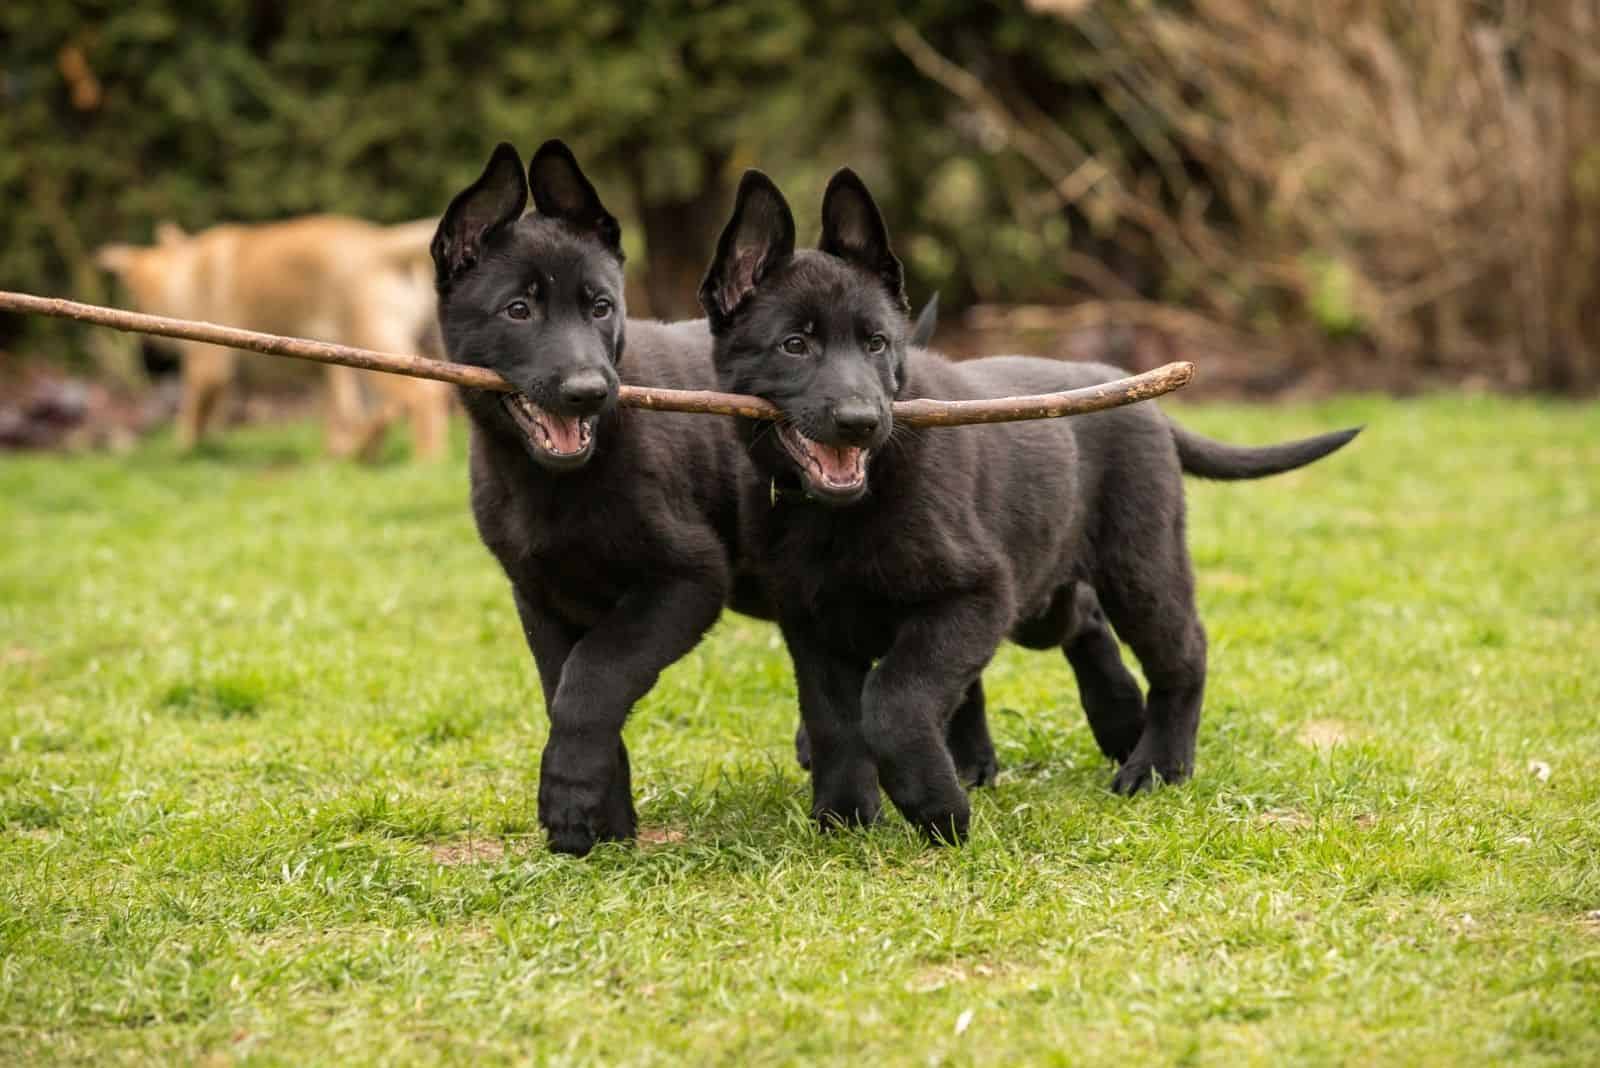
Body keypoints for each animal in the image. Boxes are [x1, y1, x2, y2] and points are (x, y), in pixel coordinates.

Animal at [95, 217, 451, 460]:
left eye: (136, 299)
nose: (146, 357)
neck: (184, 271)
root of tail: (381, 243)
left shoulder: (207, 365)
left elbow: (193, 414)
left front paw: (182, 450)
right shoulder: (322, 371)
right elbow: (337, 416)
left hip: (371, 341)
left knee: (423, 396)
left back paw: (425, 461)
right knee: (383, 411)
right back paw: (358, 453)